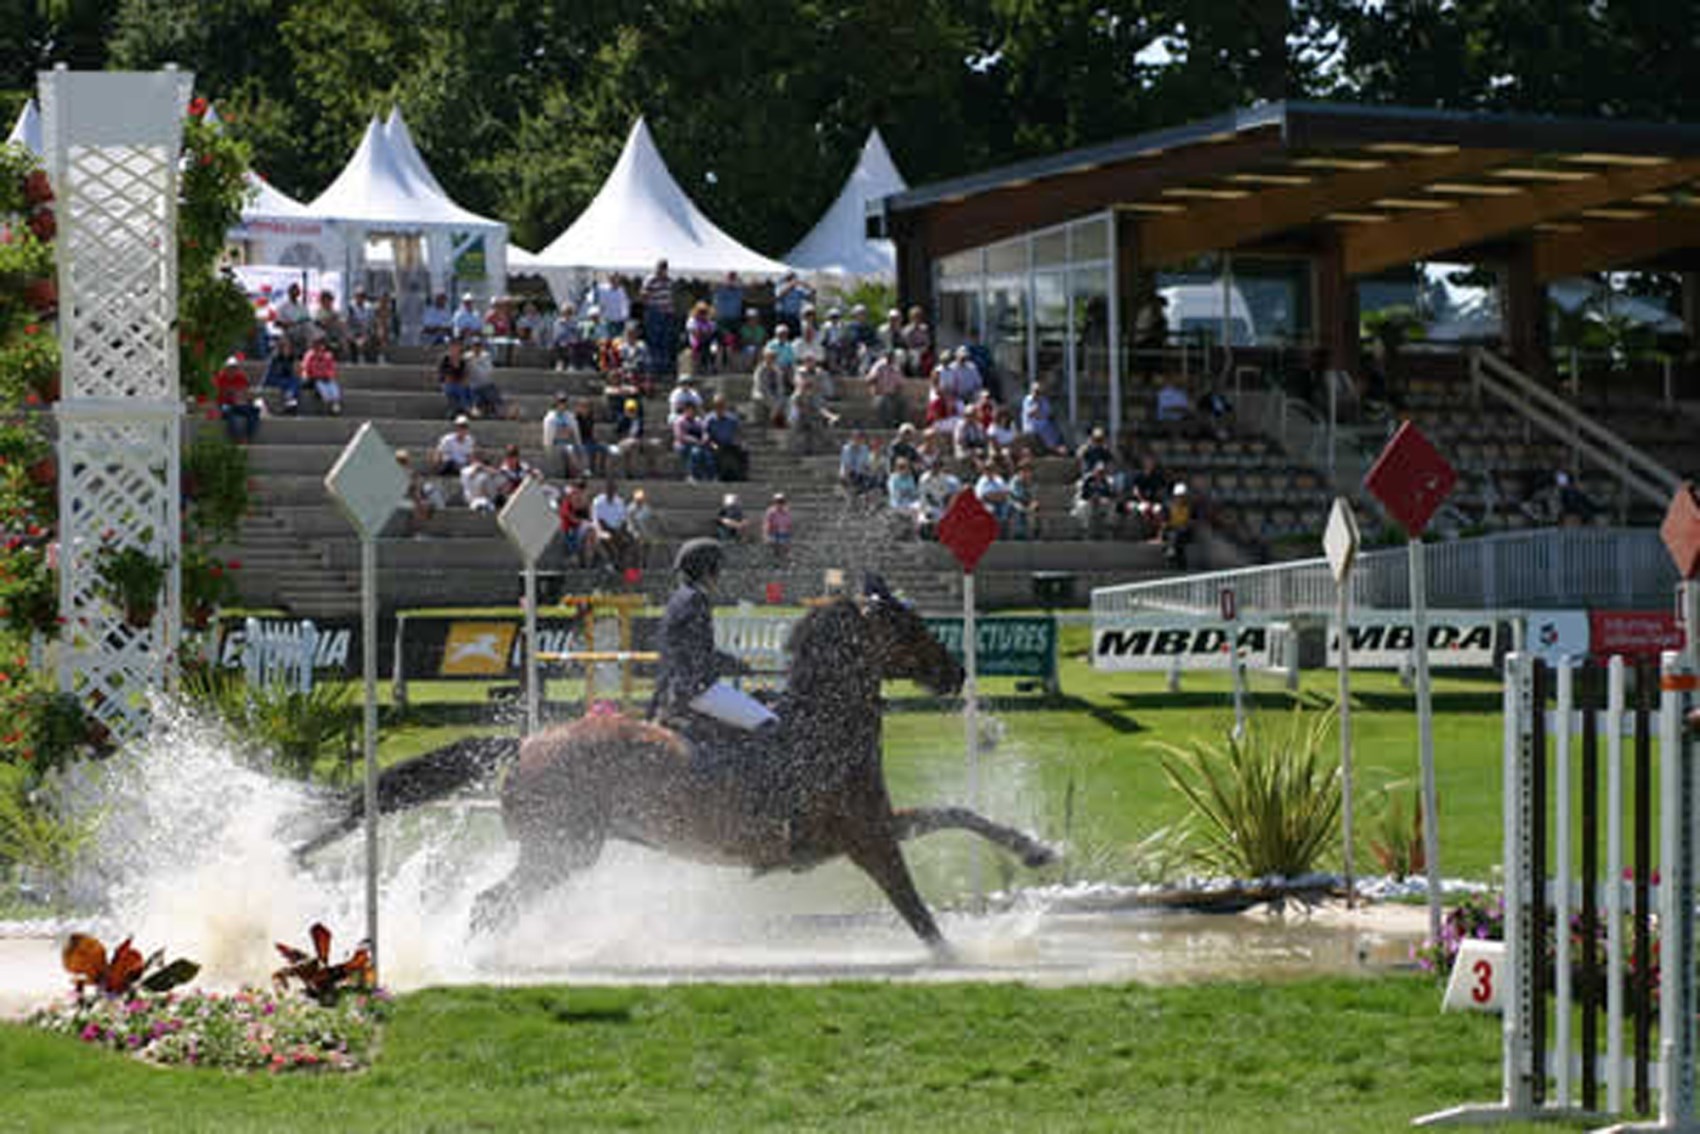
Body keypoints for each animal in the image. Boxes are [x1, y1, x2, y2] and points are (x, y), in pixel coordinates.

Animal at [472, 581, 1054, 952]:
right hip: (561, 851)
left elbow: (957, 814)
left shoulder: (878, 823)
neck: (824, 722)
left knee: (495, 905)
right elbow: (913, 906)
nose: (955, 672)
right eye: (907, 625)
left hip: (560, 853)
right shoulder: (868, 838)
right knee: (487, 905)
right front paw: (955, 956)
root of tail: (525, 747)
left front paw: (1036, 850)